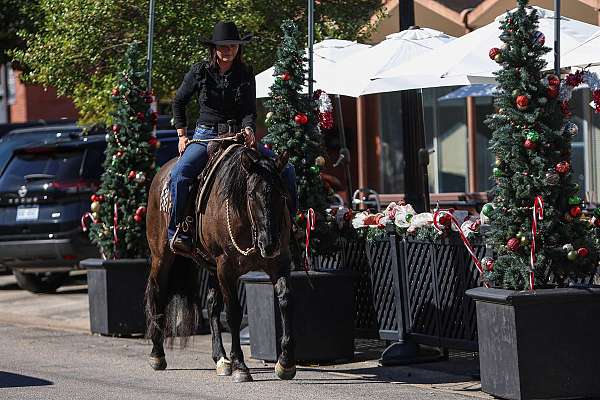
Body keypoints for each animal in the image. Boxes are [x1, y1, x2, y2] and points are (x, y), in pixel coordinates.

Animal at [145, 142, 296, 382]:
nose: (269, 243)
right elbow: (233, 312)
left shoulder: (279, 262)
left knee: (212, 304)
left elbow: (285, 301)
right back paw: (157, 355)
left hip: (212, 267)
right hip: (162, 257)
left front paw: (285, 363)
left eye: (282, 194)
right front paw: (240, 366)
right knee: (158, 294)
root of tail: (161, 174)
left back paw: (221, 359)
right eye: (251, 194)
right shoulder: (226, 267)